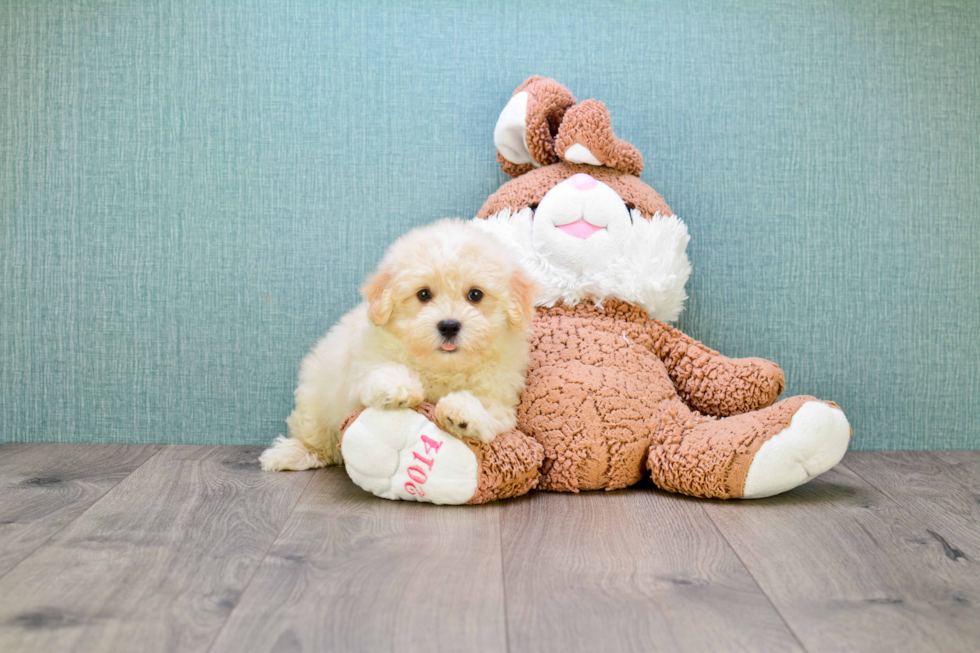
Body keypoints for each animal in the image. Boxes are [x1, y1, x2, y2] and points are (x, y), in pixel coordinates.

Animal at [260, 218, 536, 468]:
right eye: (423, 294)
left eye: (475, 295)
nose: (449, 325)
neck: (442, 368)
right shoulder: (360, 377)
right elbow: (383, 372)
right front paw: (399, 388)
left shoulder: (501, 396)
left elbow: (491, 409)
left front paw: (463, 413)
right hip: (315, 395)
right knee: (318, 440)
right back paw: (293, 453)